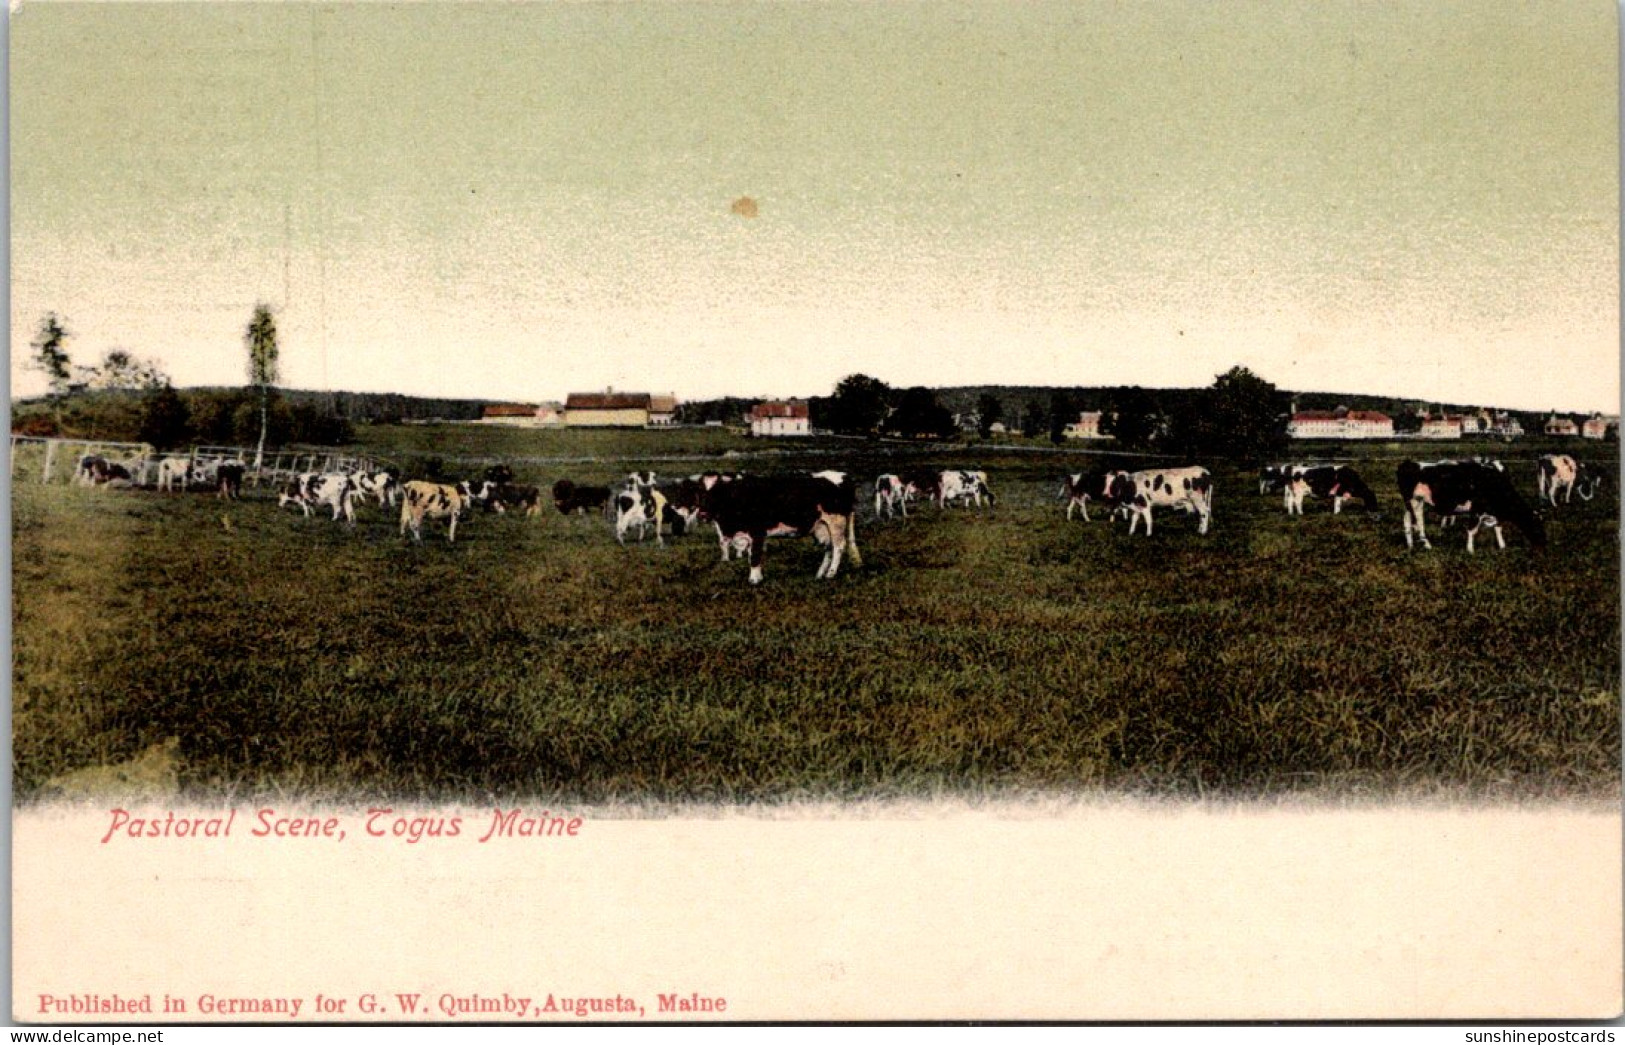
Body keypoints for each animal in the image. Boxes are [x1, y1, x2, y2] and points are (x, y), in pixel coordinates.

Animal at [1397, 461, 1547, 552]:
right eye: (1537, 526)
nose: (1544, 544)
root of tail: (1410, 463)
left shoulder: (1495, 512)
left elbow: (1498, 528)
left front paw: (1502, 546)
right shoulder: (1476, 509)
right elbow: (1472, 530)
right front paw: (1470, 550)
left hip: (1415, 502)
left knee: (1408, 522)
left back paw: (1411, 546)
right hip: (1413, 501)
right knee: (1418, 523)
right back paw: (1426, 544)